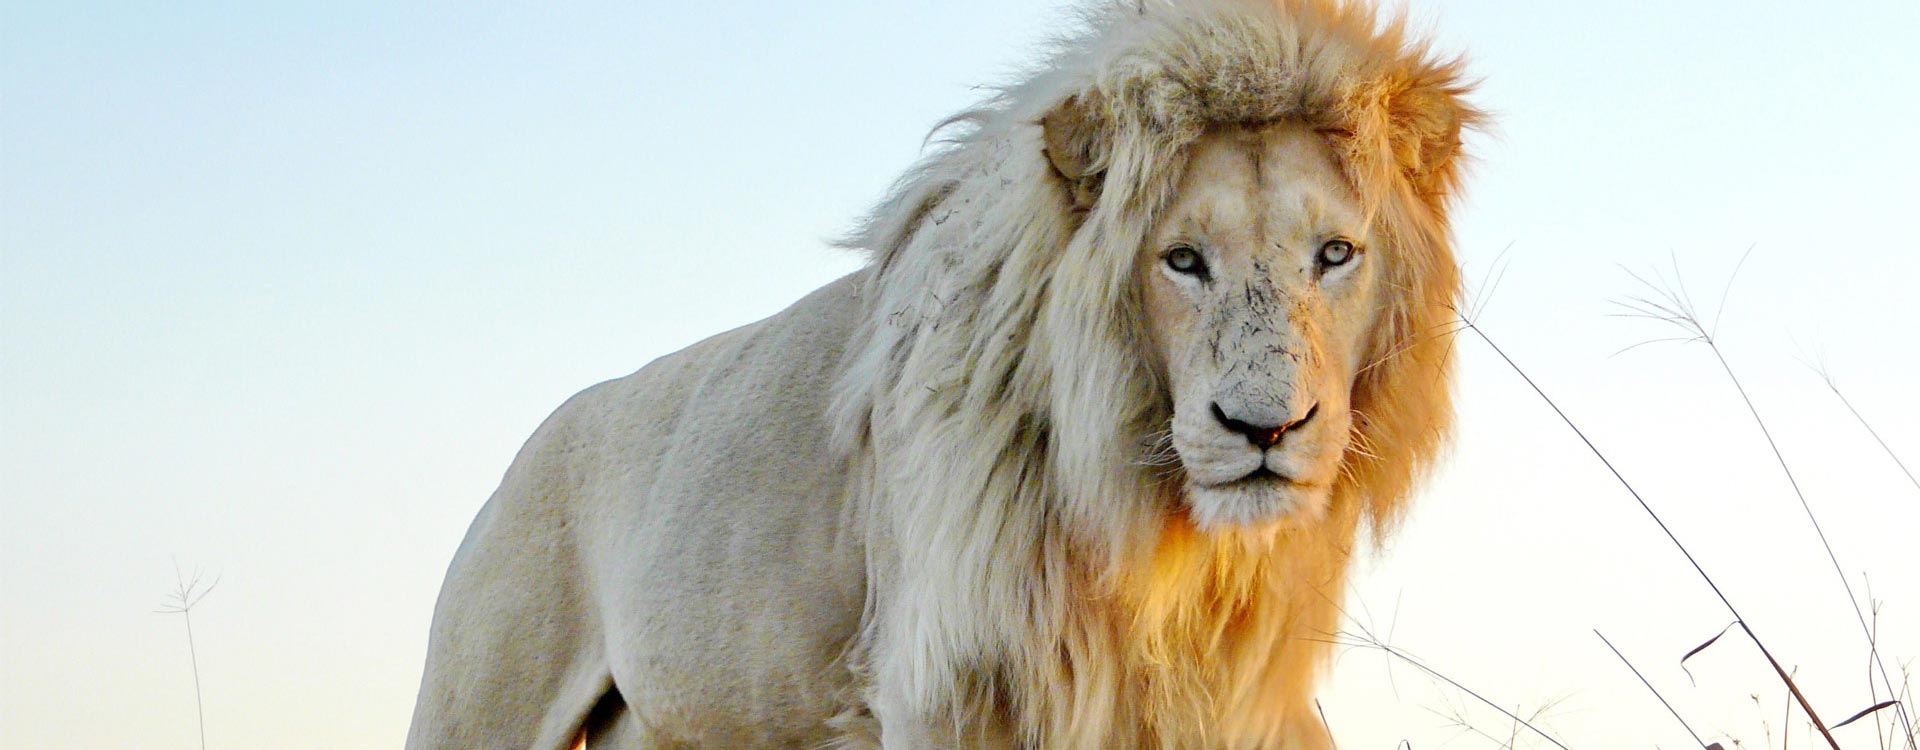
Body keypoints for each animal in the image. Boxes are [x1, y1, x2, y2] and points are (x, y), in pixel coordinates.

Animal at [406, 1, 1481, 748]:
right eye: (1181, 260)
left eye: (1335, 255)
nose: (1265, 428)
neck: (1153, 536)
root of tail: (525, 455)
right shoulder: (941, 687)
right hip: (480, 701)